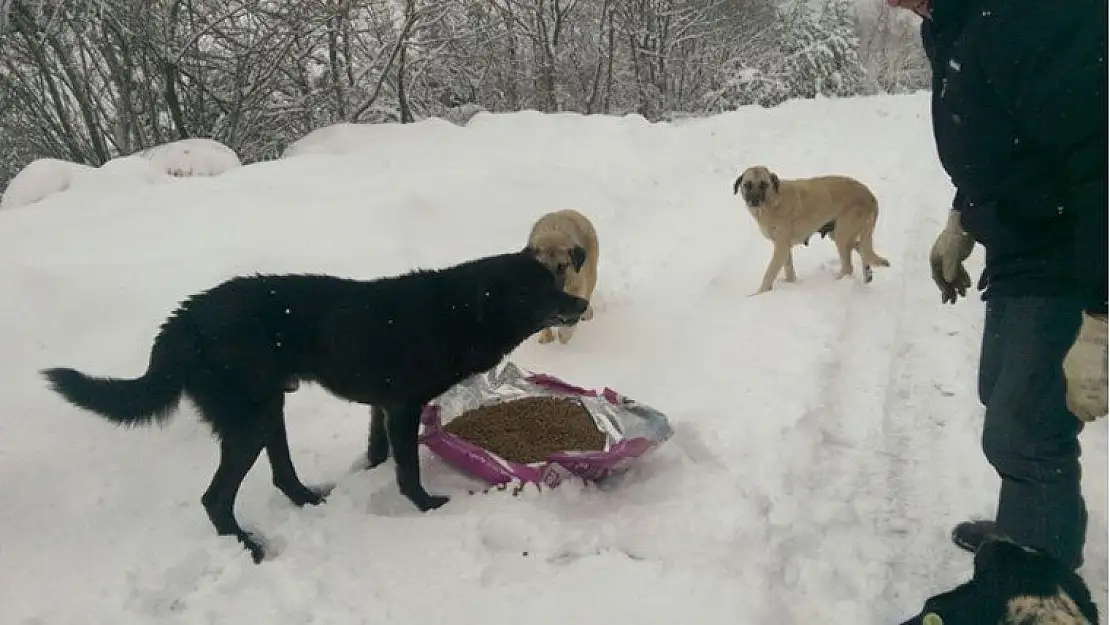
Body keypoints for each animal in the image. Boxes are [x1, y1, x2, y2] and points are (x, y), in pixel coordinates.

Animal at [41, 248, 590, 561]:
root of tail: (183, 323)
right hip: (249, 420)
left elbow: (378, 452)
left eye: (557, 280)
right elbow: (408, 469)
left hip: (269, 410)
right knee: (215, 498)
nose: (582, 304)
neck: (456, 311)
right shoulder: (403, 405)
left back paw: (310, 500)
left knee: (281, 476)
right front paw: (426, 506)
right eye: (541, 289)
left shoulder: (382, 408)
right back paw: (249, 549)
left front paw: (371, 475)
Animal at [728, 165, 892, 295]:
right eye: (747, 185)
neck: (773, 202)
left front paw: (758, 295)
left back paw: (837, 284)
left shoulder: (781, 246)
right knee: (860, 247)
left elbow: (769, 273)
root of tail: (871, 196)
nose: (754, 200)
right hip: (838, 232)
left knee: (848, 267)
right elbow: (788, 269)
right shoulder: (783, 247)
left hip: (842, 234)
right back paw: (867, 274)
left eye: (763, 184)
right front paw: (790, 284)